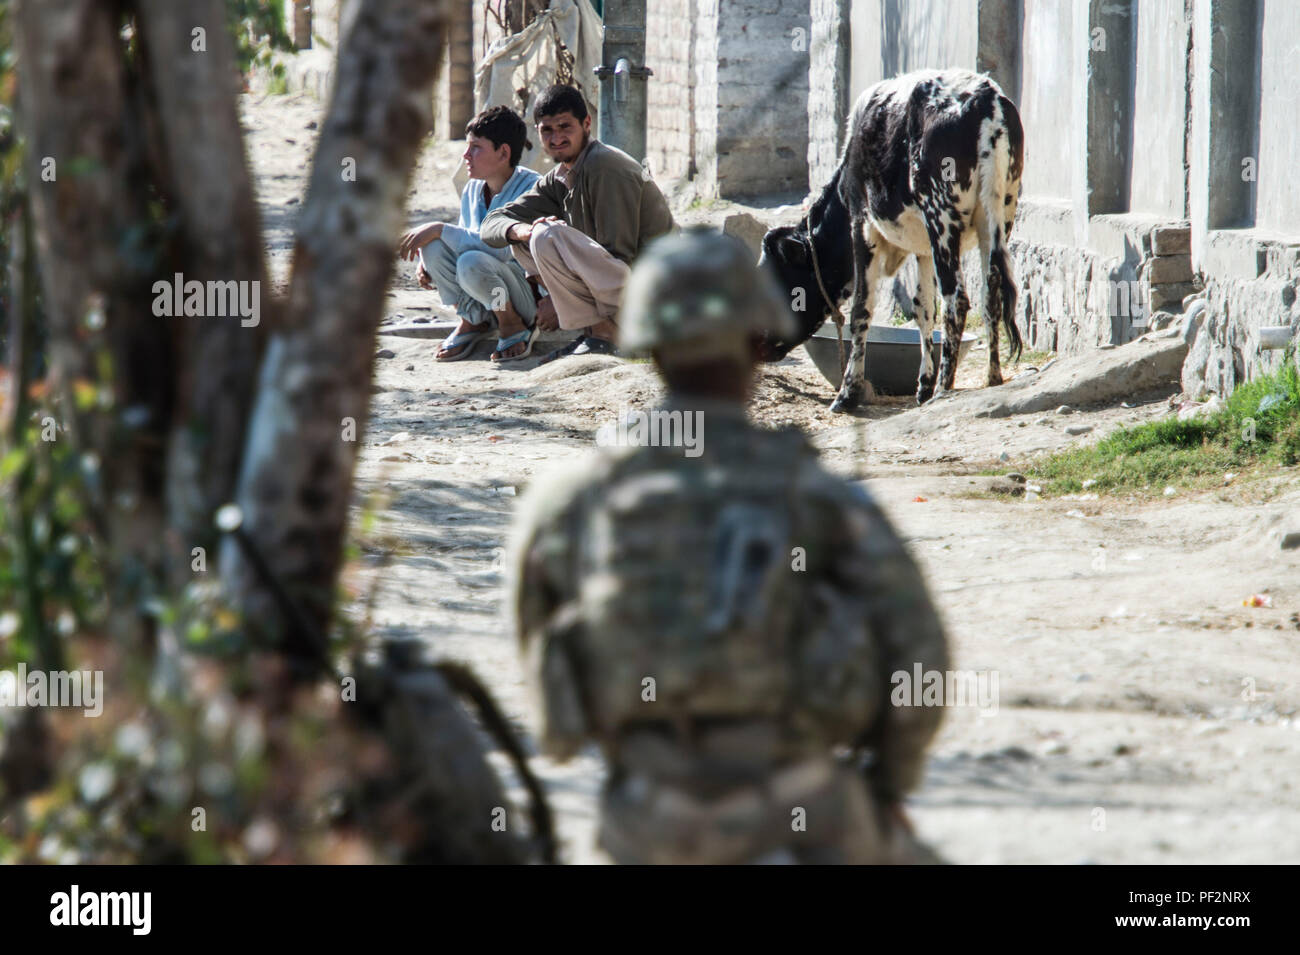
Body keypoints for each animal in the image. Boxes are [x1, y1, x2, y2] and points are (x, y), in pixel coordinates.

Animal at [759, 67, 1024, 410]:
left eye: (774, 279)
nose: (756, 342)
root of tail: (984, 96)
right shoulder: (922, 248)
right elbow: (924, 309)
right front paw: (922, 386)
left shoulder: (862, 224)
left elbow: (861, 307)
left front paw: (848, 393)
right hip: (998, 216)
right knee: (991, 291)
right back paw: (991, 378)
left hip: (941, 217)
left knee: (957, 299)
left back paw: (944, 389)